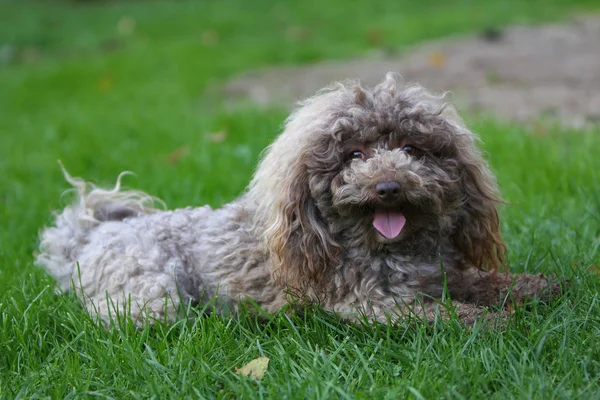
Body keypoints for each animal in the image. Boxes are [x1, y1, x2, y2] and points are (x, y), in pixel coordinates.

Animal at [35, 74, 560, 324]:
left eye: (412, 149)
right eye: (354, 154)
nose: (388, 187)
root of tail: (92, 233)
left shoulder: (445, 276)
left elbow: (489, 283)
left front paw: (537, 287)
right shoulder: (374, 304)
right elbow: (457, 315)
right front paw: (502, 321)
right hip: (152, 295)